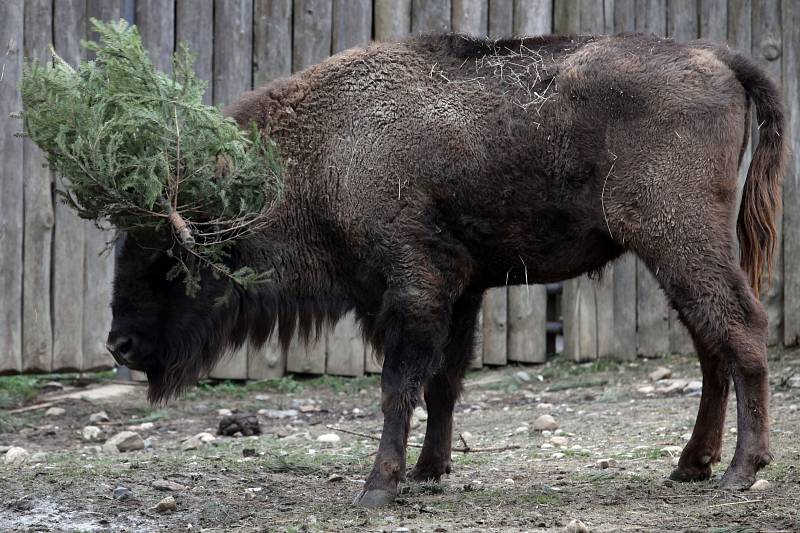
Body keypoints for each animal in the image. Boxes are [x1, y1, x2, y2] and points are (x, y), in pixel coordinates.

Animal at [106, 31, 788, 504]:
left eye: (169, 258)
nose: (120, 344)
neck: (326, 150)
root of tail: (719, 58)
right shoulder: (462, 292)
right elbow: (443, 382)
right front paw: (430, 471)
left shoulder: (416, 287)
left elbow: (398, 385)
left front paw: (377, 487)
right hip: (676, 255)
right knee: (712, 346)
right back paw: (689, 465)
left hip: (678, 240)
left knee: (743, 330)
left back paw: (740, 472)